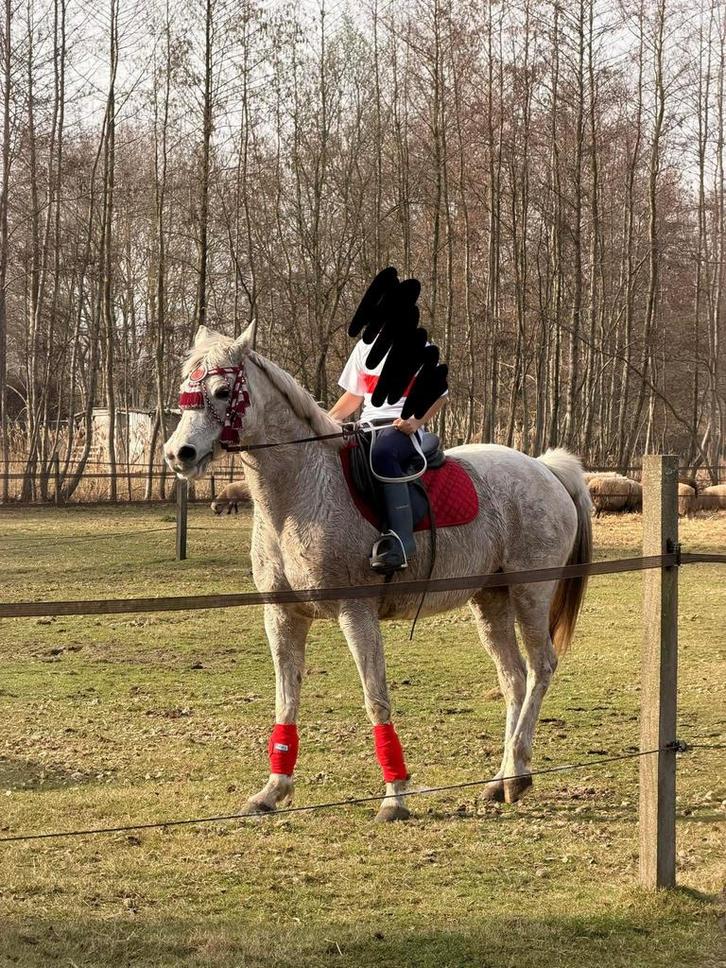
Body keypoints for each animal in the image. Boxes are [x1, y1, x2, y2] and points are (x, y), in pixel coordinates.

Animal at [164, 323, 592, 822]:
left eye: (221, 391)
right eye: (185, 389)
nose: (178, 453)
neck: (300, 491)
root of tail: (543, 467)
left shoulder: (357, 613)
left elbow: (376, 699)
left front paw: (394, 797)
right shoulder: (283, 616)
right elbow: (286, 700)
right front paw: (272, 790)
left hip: (529, 592)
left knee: (541, 668)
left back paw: (519, 775)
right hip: (491, 599)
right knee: (514, 678)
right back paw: (501, 779)